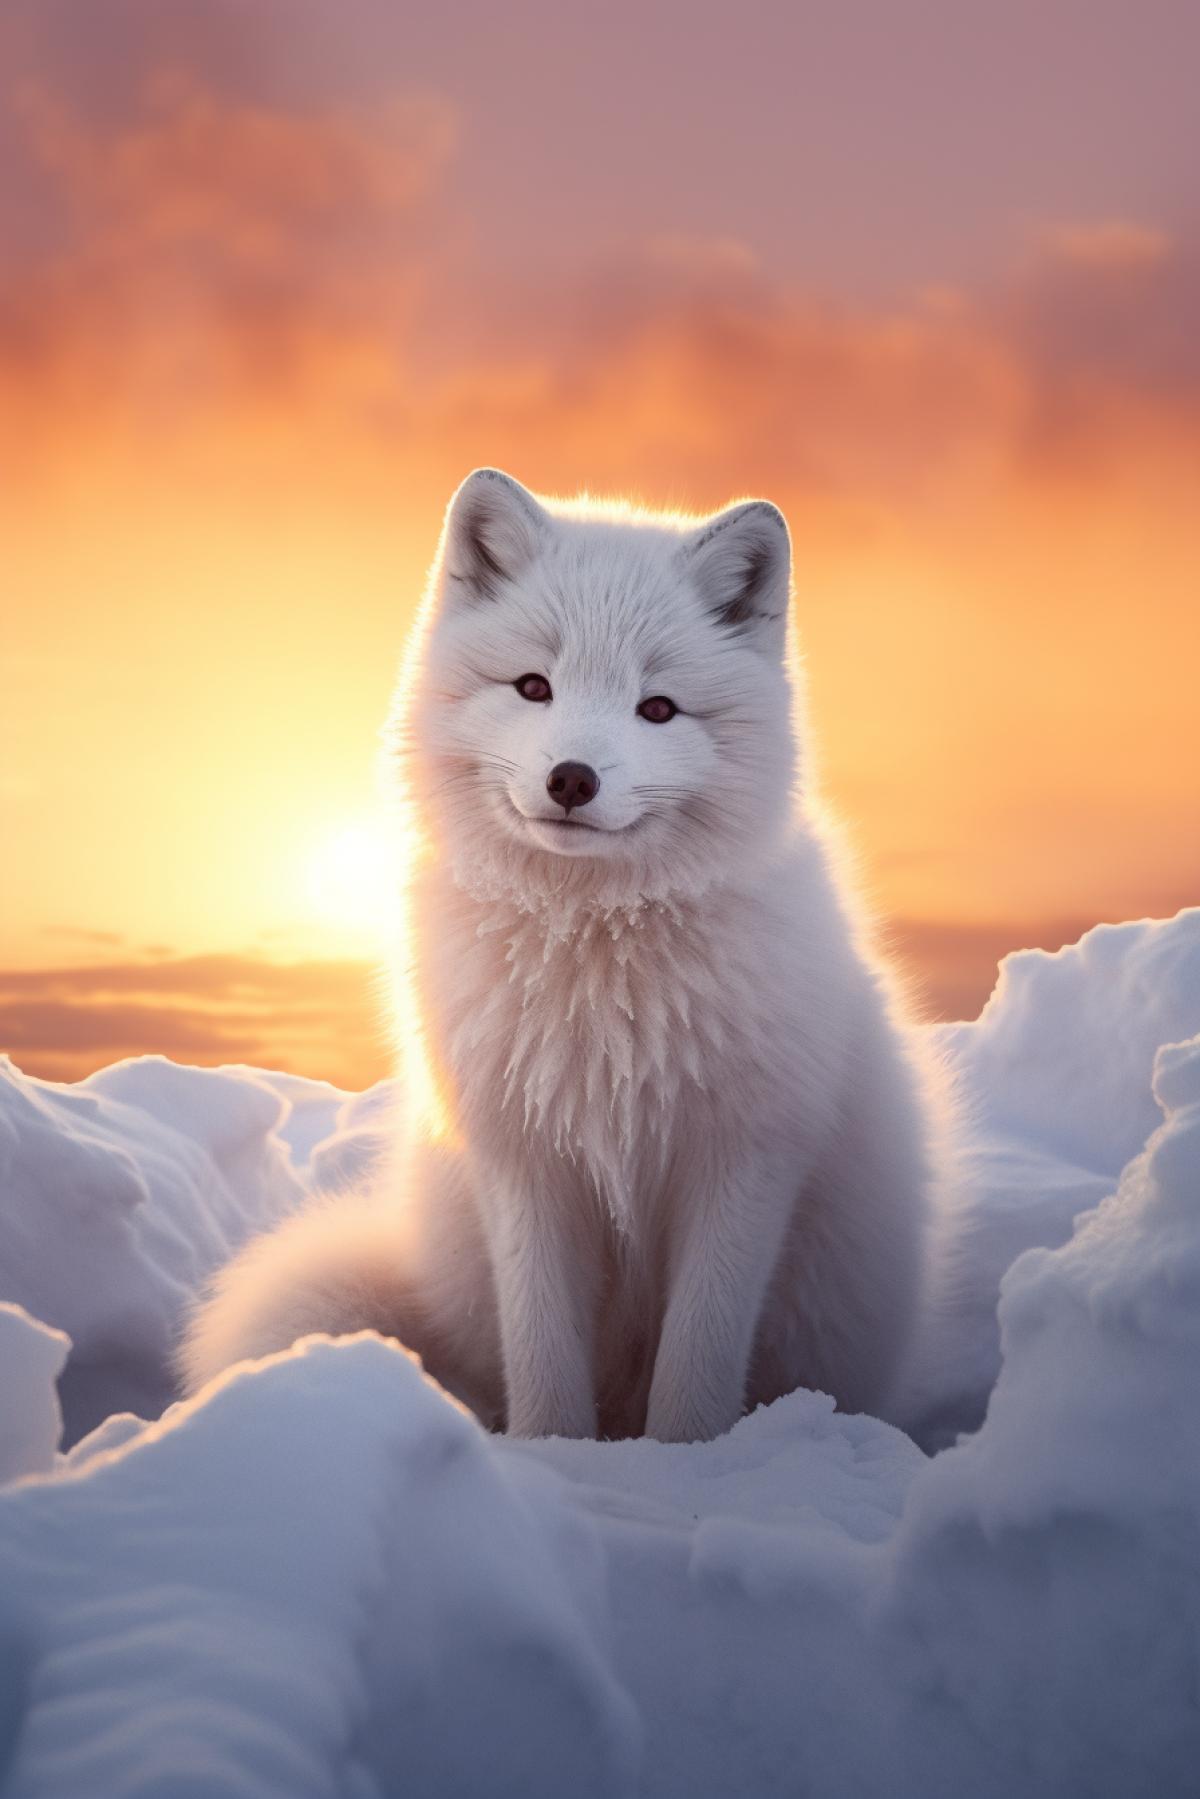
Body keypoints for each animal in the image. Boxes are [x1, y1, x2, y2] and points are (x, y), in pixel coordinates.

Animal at [181, 468, 946, 1443]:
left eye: (657, 707)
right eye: (533, 686)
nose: (572, 778)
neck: (596, 970)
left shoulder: (745, 1156)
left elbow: (698, 1358)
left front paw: (685, 1459)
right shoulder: (524, 1160)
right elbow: (542, 1348)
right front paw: (553, 1453)